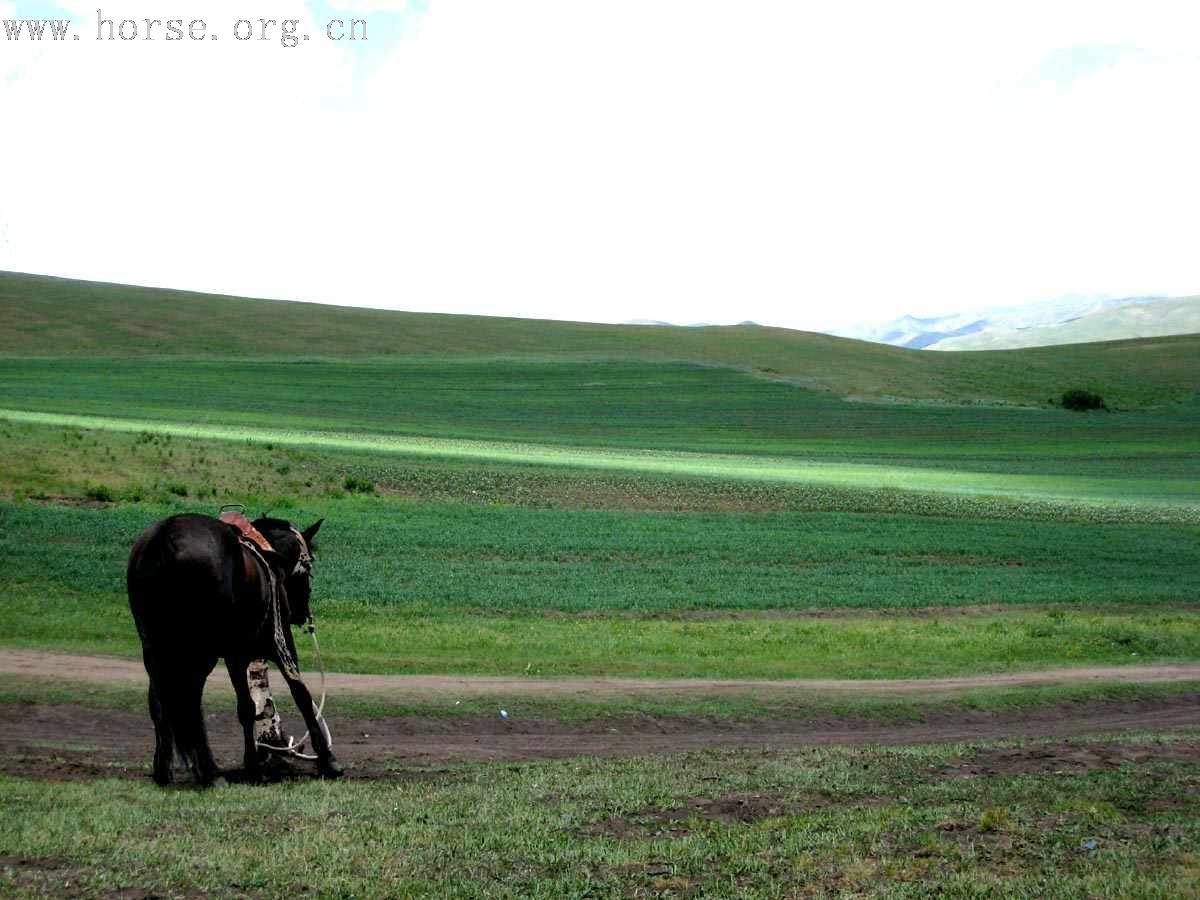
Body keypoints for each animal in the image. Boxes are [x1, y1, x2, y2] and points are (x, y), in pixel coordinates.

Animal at [127, 518, 340, 787]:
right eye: (309, 565)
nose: (302, 613)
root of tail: (164, 539)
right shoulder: (274, 645)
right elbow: (297, 694)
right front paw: (327, 759)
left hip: (155, 649)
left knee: (160, 703)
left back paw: (166, 771)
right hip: (200, 653)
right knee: (191, 704)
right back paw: (210, 771)